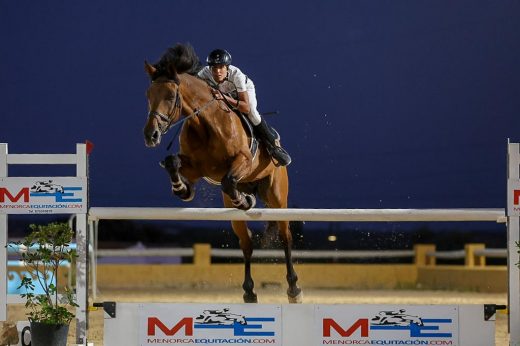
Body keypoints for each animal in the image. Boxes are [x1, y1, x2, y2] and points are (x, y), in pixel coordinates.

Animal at [144, 44, 302, 304]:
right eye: (148, 96)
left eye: (169, 96)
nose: (151, 135)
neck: (205, 124)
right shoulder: (196, 168)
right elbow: (172, 162)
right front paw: (182, 189)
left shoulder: (243, 161)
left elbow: (229, 180)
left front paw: (244, 200)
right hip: (235, 209)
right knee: (246, 244)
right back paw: (249, 291)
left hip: (278, 197)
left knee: (285, 236)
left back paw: (293, 289)